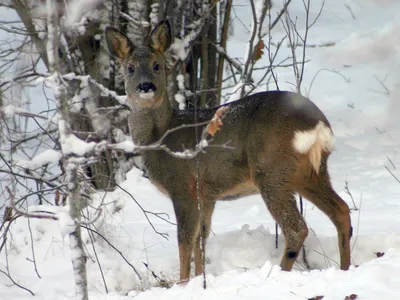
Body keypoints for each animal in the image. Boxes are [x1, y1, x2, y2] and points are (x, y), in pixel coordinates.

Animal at [104, 19, 352, 282]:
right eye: (130, 67)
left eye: (157, 65)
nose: (145, 86)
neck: (161, 136)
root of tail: (318, 124)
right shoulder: (206, 195)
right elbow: (201, 239)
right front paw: (200, 279)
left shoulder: (183, 186)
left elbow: (185, 239)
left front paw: (183, 283)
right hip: (309, 172)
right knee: (341, 210)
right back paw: (346, 268)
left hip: (272, 169)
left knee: (297, 228)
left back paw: (278, 274)